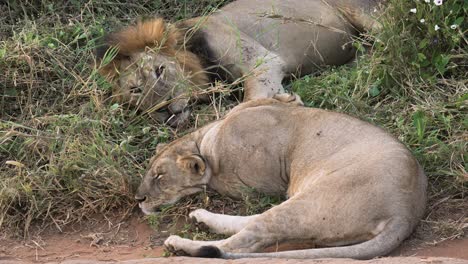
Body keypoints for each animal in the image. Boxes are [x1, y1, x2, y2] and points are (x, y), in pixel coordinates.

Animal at [96, 0, 384, 126]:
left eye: (160, 70)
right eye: (135, 90)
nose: (164, 110)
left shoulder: (262, 61)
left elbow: (244, 105)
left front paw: (286, 103)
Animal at [134, 94, 428, 258]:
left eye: (160, 176)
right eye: (151, 171)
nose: (138, 199)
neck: (203, 142)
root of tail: (405, 212)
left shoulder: (259, 182)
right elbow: (281, 99)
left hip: (311, 201)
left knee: (248, 240)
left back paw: (180, 244)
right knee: (255, 223)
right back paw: (200, 218)